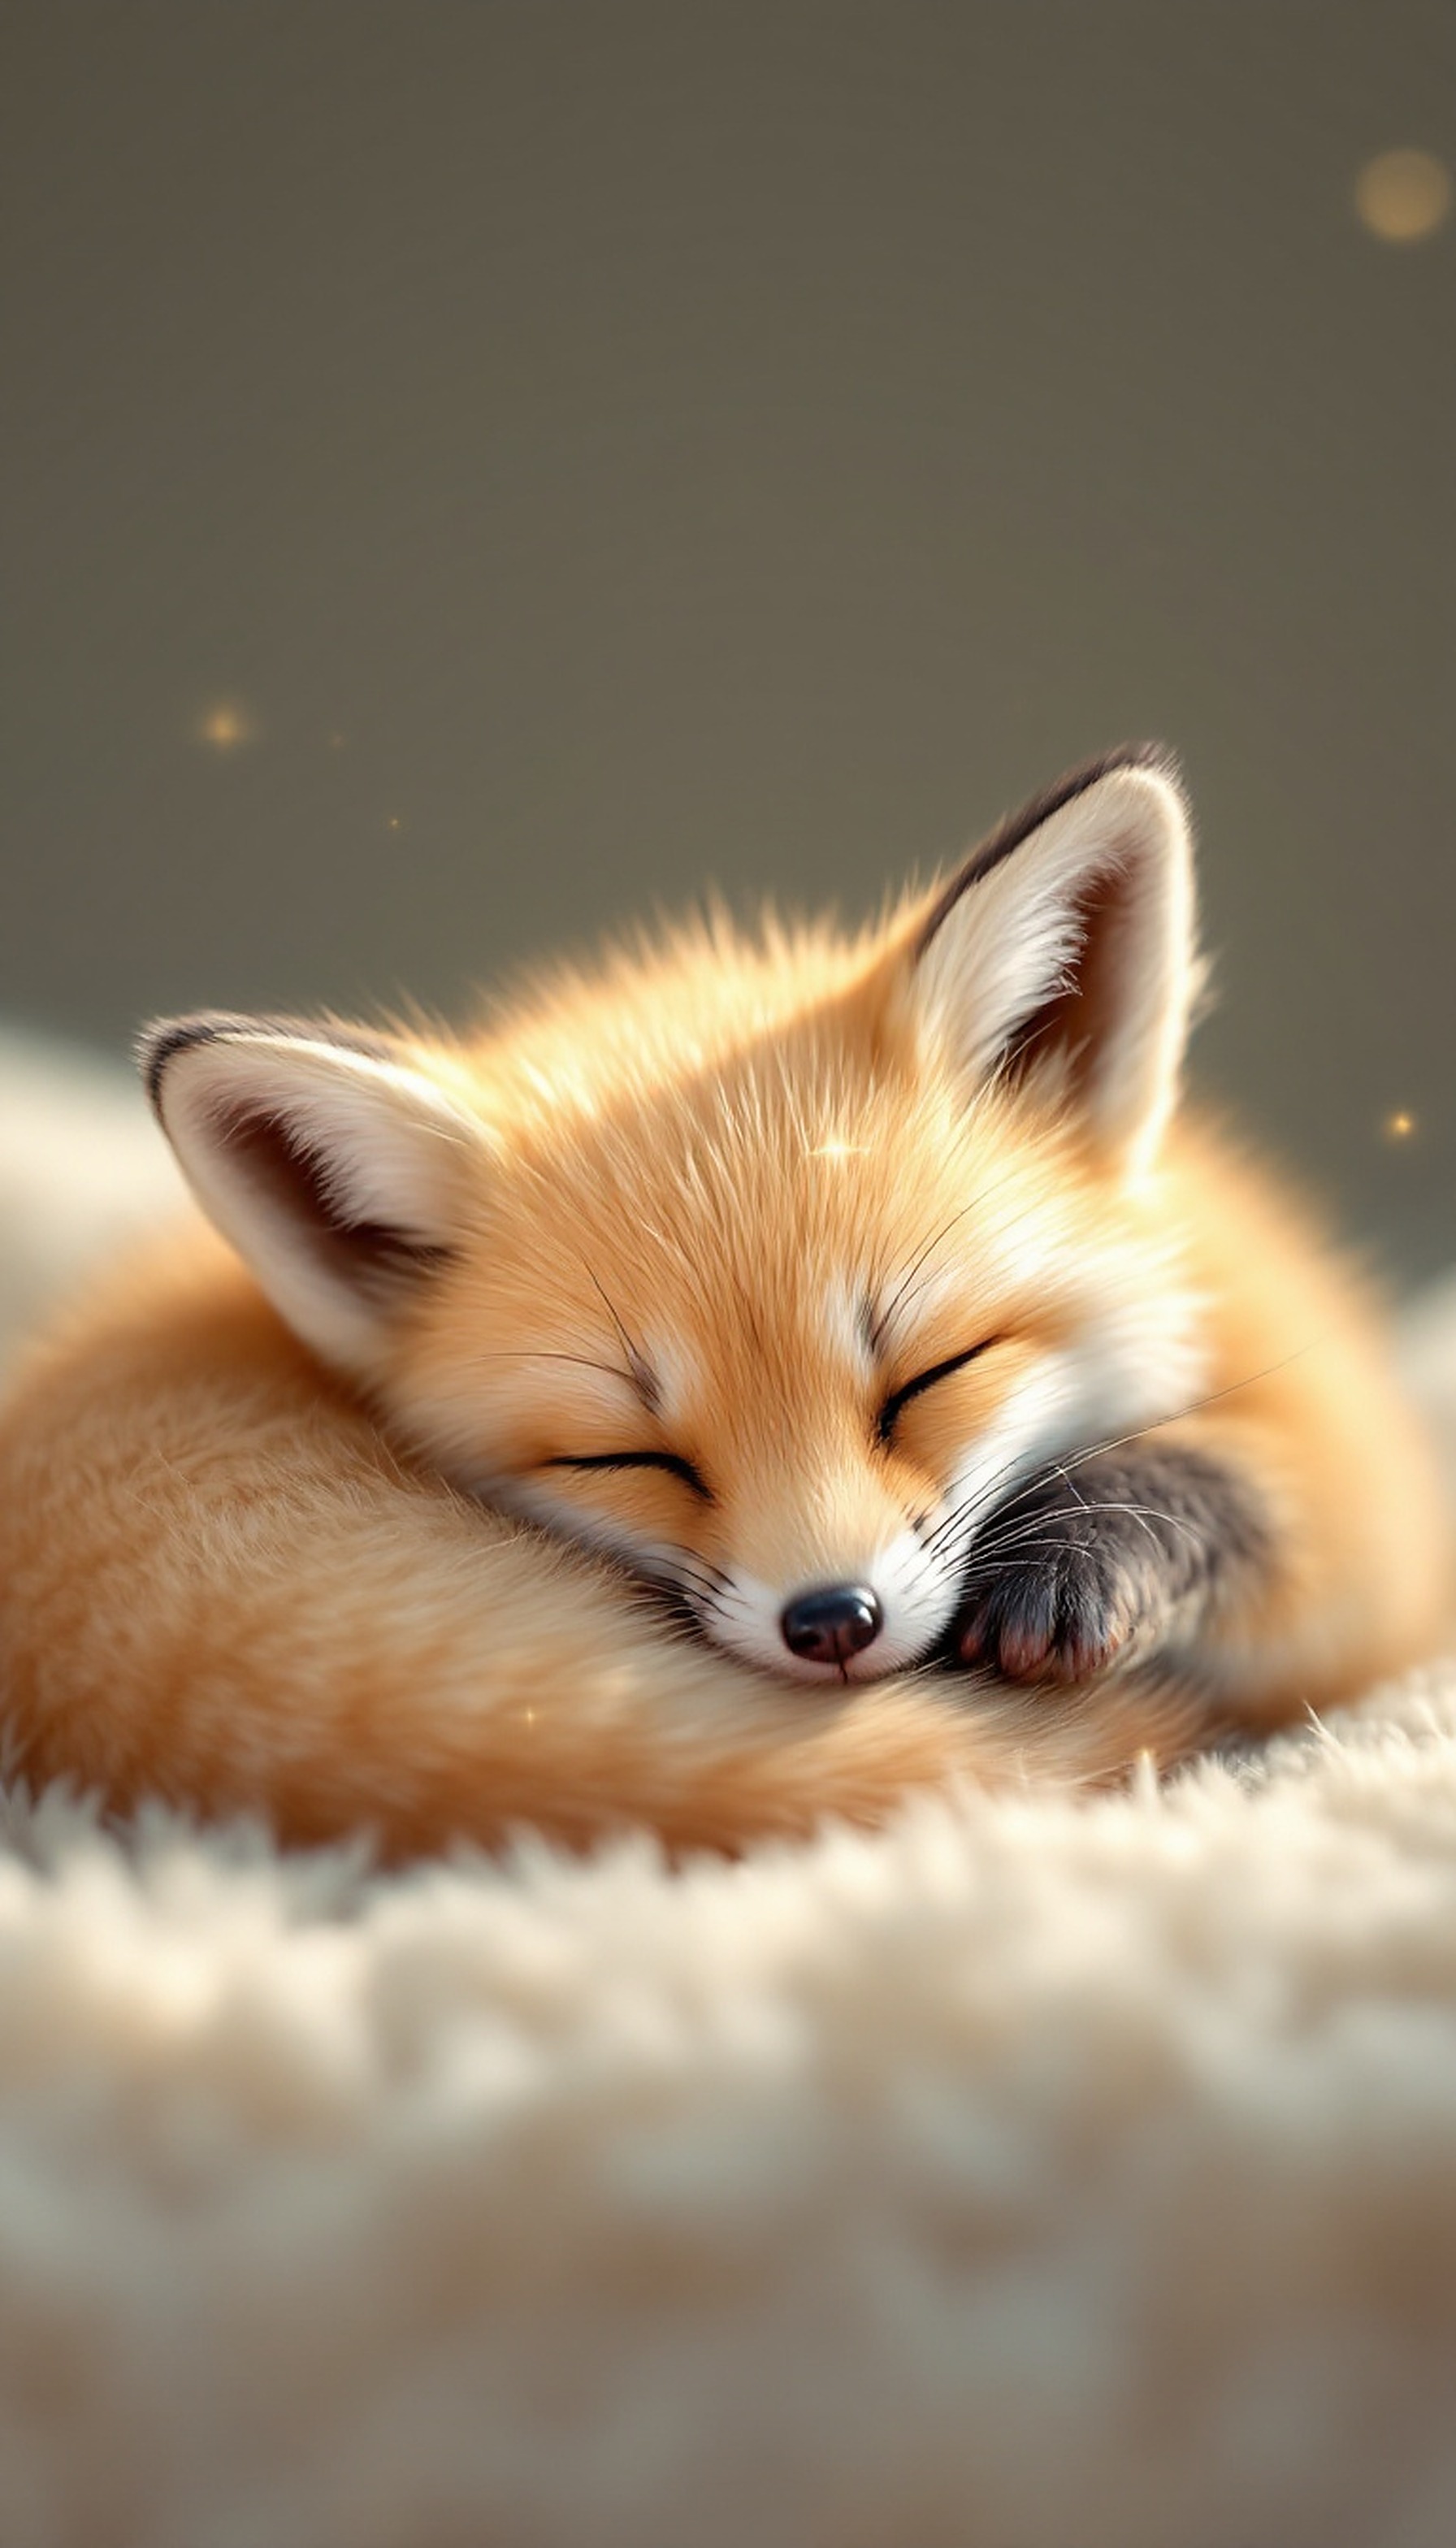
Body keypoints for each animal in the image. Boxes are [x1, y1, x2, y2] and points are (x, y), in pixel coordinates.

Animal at [0, 746, 1446, 1859]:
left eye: (929, 1375)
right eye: (627, 1456)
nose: (833, 1625)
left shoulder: (1369, 1494)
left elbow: (1263, 1492)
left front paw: (1092, 1548)